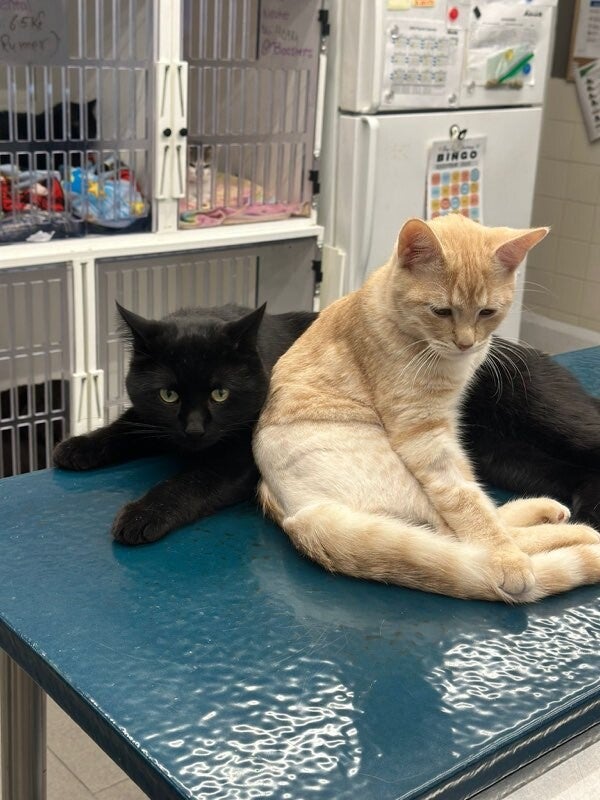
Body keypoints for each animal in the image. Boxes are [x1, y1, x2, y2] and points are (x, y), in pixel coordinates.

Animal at [53, 302, 316, 545]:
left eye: (220, 393)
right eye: (168, 395)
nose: (194, 429)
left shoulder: (238, 458)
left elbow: (190, 482)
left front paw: (141, 515)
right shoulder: (151, 420)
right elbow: (123, 427)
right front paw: (77, 446)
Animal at [253, 214, 600, 603]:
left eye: (487, 312)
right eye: (441, 311)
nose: (466, 343)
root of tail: (295, 514)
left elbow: (476, 499)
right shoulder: (423, 435)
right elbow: (467, 503)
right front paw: (506, 560)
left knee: (480, 518)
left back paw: (547, 509)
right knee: (457, 535)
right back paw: (576, 537)